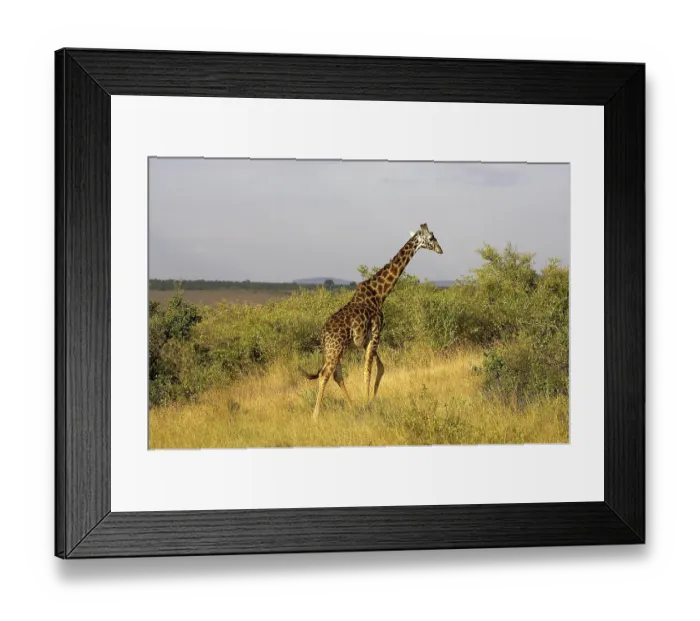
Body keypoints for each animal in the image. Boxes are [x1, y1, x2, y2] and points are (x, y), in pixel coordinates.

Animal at [300, 223, 443, 419]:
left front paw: (370, 400)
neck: (379, 294)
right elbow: (368, 369)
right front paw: (367, 401)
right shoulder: (376, 333)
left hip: (333, 350)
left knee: (337, 375)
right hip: (335, 349)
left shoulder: (367, 340)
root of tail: (323, 334)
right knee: (325, 374)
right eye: (431, 238)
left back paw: (352, 406)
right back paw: (315, 415)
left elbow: (380, 367)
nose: (440, 250)